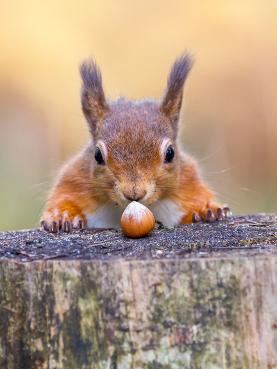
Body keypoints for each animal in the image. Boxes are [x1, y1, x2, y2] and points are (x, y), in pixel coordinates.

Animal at [40, 53, 229, 231]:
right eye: (97, 155)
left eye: (170, 153)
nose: (134, 193)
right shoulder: (74, 180)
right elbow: (64, 197)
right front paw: (62, 216)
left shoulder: (188, 181)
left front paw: (207, 209)